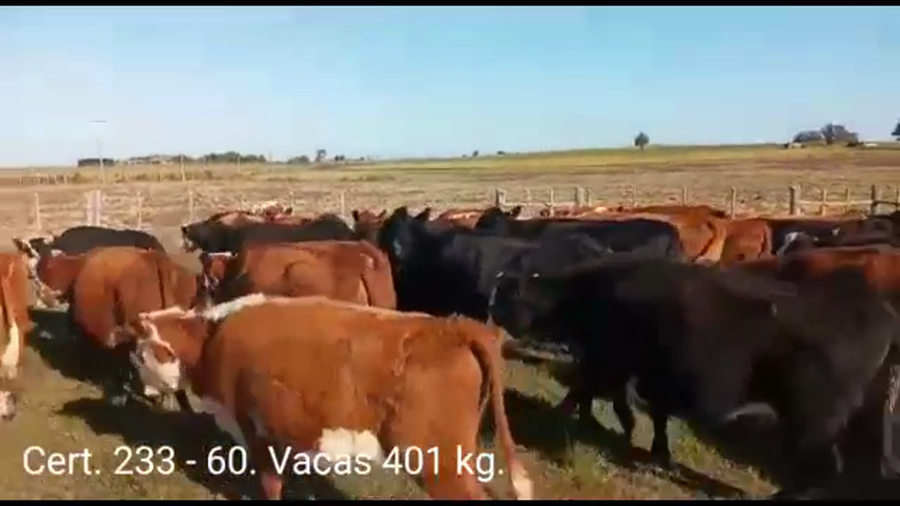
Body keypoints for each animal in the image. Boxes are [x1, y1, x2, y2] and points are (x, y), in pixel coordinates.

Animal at [120, 294, 534, 500]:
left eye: (138, 354)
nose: (143, 390)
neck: (211, 338)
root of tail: (452, 327)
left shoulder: (256, 431)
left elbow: (269, 485)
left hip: (437, 463)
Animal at [489, 255, 899, 499]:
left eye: (507, 295)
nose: (492, 314)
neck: (586, 292)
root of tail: (877, 308)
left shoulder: (610, 360)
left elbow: (590, 389)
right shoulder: (647, 374)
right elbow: (651, 412)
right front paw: (654, 449)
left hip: (812, 417)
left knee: (820, 466)